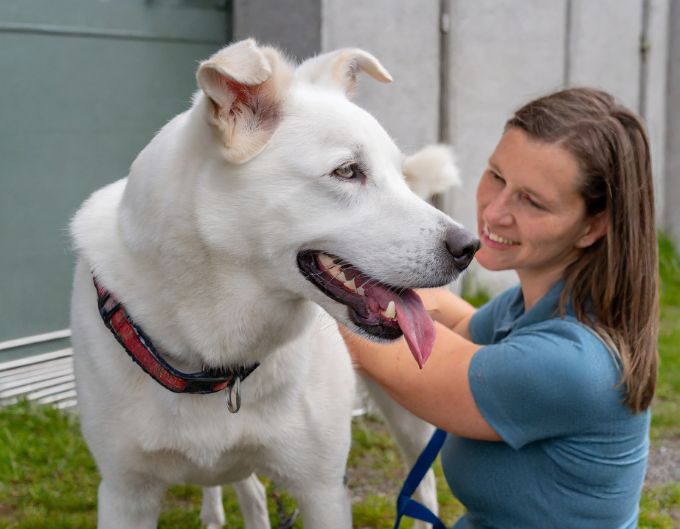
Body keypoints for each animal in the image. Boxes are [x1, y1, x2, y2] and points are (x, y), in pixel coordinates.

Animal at [66, 38, 476, 528]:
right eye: (347, 171)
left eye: (399, 176)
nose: (470, 247)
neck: (216, 357)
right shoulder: (125, 496)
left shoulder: (322, 490)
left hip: (415, 408)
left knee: (424, 483)